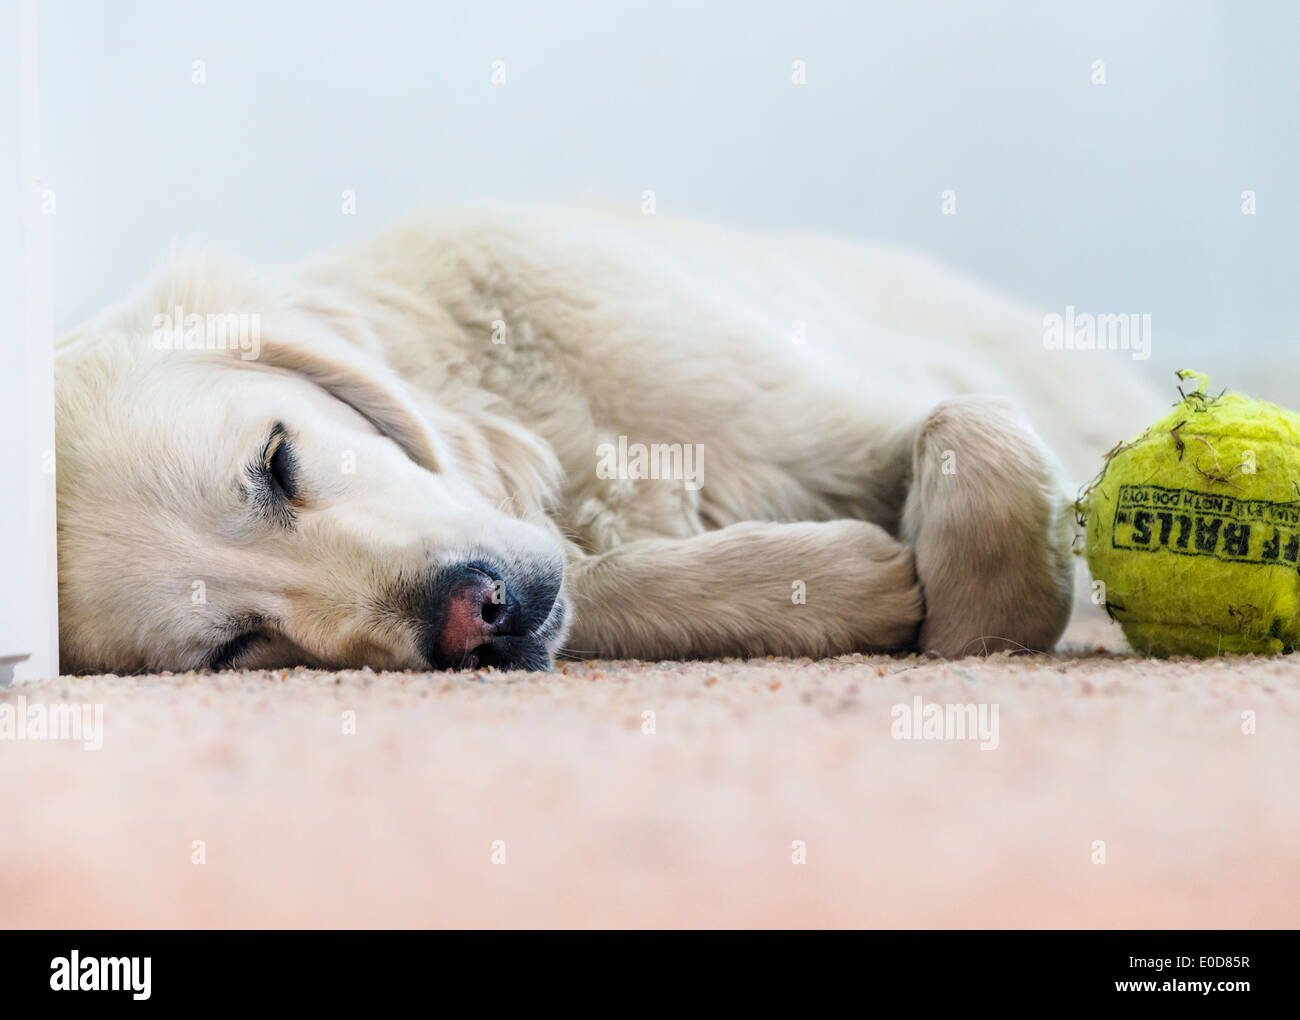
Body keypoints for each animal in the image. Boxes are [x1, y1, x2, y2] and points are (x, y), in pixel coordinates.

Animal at [53, 205, 1159, 675]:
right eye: (236, 645)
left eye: (276, 463)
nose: (471, 617)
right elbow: (607, 584)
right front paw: (836, 584)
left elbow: (976, 437)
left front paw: (985, 629)